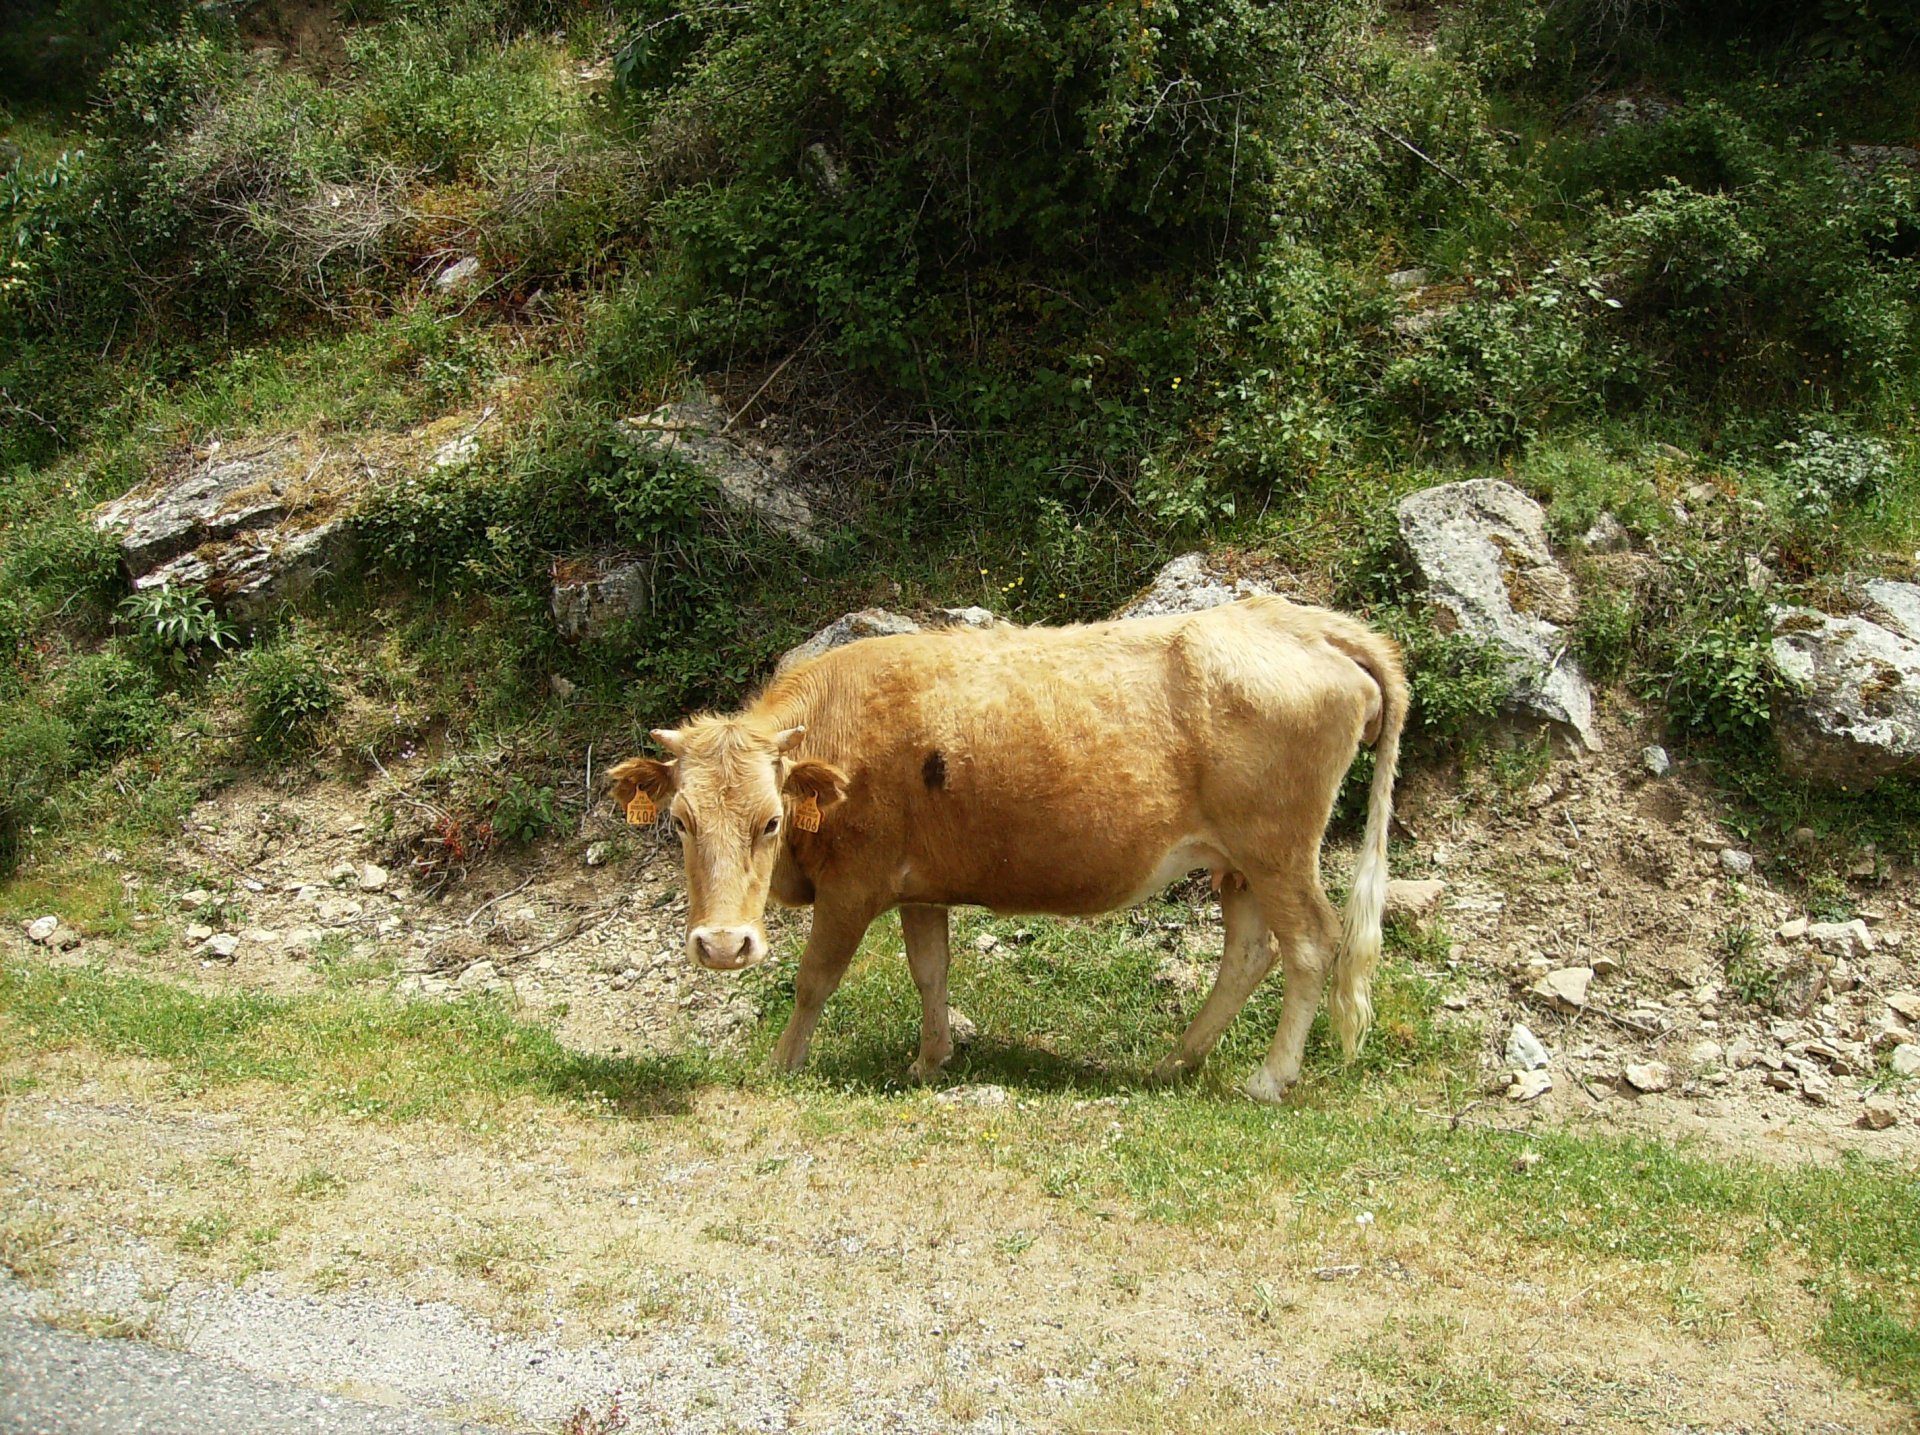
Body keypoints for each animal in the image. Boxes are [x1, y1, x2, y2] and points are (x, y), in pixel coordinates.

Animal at [614, 595, 1413, 1098]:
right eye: (679, 821)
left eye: (772, 821)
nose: (722, 946)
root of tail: (1302, 620)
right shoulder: (919, 885)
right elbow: (930, 971)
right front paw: (931, 1060)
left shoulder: (854, 885)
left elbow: (816, 979)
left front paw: (783, 1062)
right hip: (1238, 863)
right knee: (1249, 951)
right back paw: (1175, 1062)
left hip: (1278, 849)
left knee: (1310, 943)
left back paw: (1269, 1078)